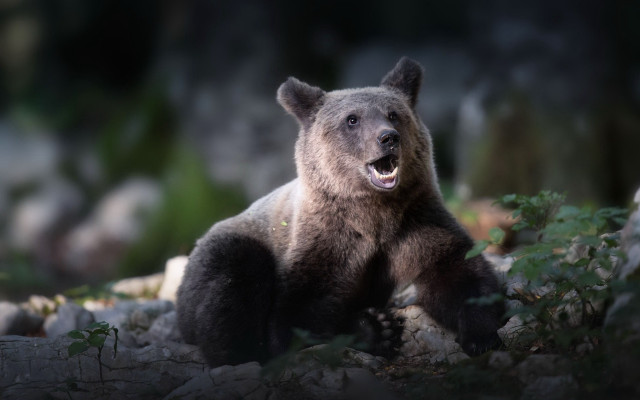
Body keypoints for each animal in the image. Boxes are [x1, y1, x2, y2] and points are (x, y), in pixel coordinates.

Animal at [176, 57, 504, 367]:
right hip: (222, 253)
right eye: (352, 119)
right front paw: (376, 329)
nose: (388, 137)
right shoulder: (326, 241)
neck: (373, 213)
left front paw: (480, 335)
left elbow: (457, 271)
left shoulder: (415, 222)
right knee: (233, 280)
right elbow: (298, 313)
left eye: (393, 114)